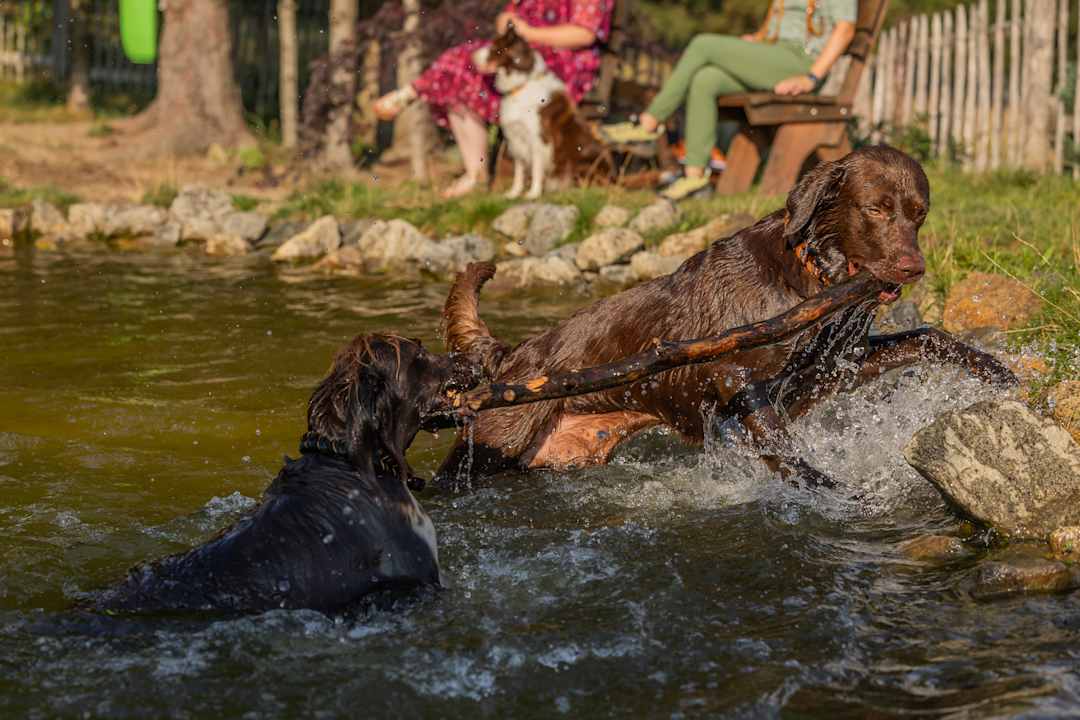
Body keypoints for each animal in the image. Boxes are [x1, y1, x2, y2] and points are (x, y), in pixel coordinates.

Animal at [438, 146, 1017, 488]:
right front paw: (820, 484)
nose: (912, 267)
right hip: (491, 445)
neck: (808, 276)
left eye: (919, 214)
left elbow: (928, 335)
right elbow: (775, 438)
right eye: (875, 209)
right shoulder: (732, 370)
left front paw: (996, 372)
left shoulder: (830, 368)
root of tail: (512, 357)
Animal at [474, 27, 612, 199]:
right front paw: (513, 194)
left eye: (494, 48)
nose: (471, 55)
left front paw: (533, 194)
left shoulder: (538, 139)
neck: (522, 84)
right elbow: (519, 171)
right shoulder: (516, 139)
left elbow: (536, 168)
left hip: (580, 162)